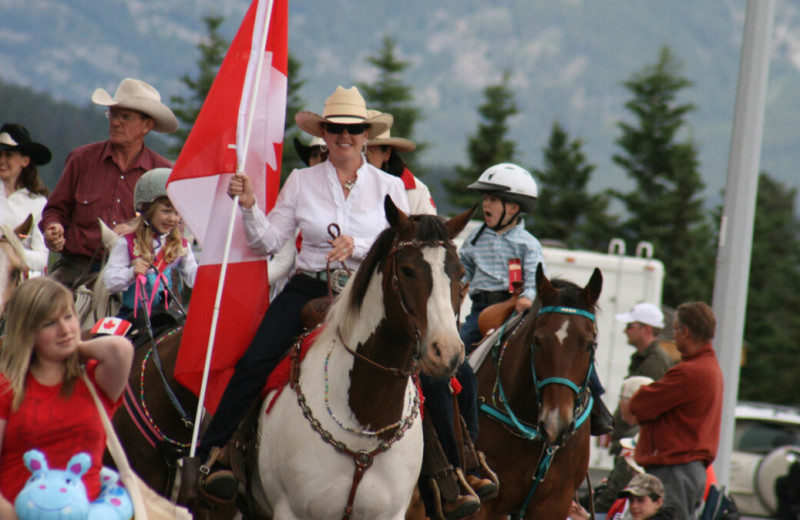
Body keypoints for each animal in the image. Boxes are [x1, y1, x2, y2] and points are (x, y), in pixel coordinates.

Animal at [252, 197, 476, 516]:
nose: (446, 352)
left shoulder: (391, 514)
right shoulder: (290, 511)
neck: (366, 416)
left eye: (460, 273)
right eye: (407, 270)